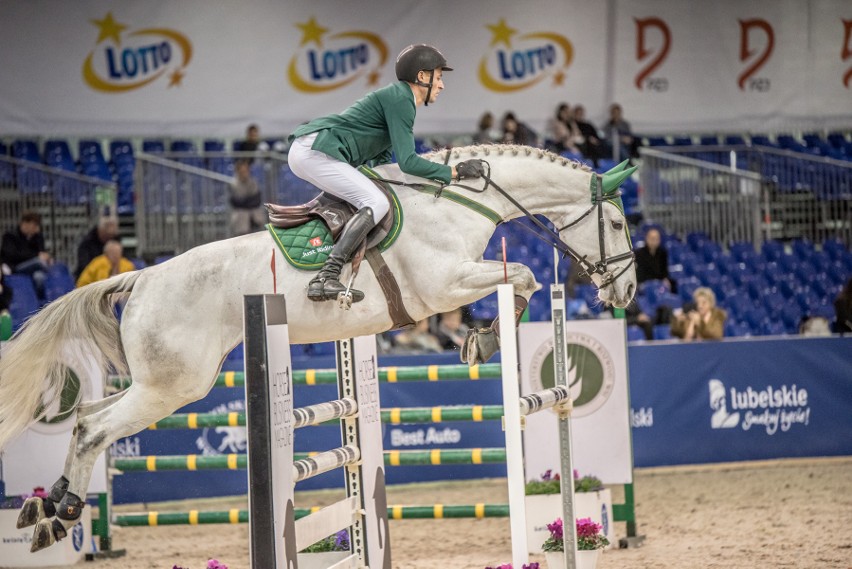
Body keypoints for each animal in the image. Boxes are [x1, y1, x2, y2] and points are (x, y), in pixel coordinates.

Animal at [0, 143, 632, 552]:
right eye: (620, 225)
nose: (623, 292)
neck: (458, 203)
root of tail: (143, 277)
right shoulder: (444, 284)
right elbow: (523, 274)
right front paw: (485, 338)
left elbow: (522, 279)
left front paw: (482, 337)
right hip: (174, 385)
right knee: (94, 428)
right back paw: (62, 514)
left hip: (164, 382)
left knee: (86, 414)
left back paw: (49, 512)